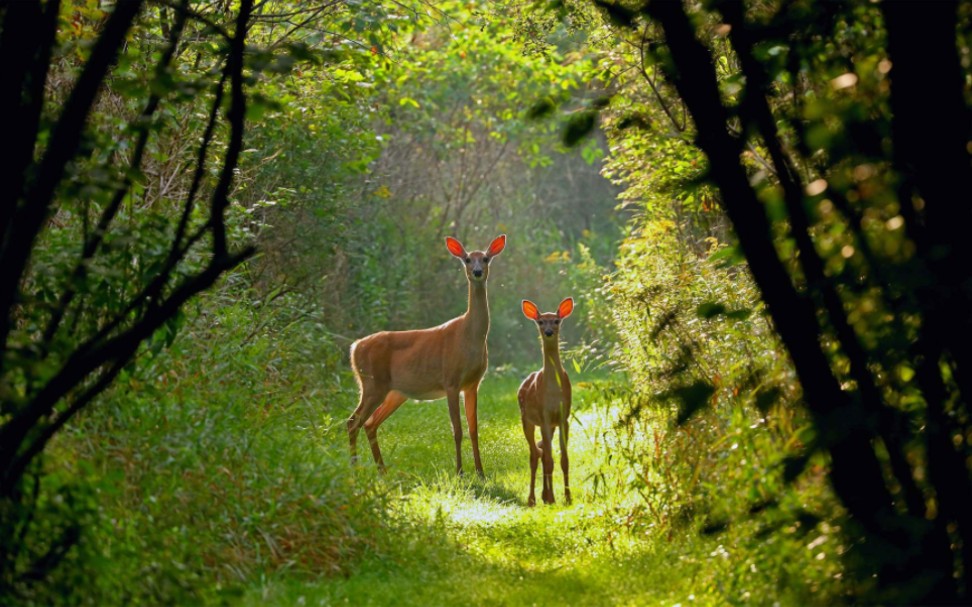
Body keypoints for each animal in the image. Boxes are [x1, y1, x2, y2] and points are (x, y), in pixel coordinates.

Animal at [347, 234, 507, 477]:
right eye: (468, 259)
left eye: (486, 258)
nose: (477, 272)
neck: (469, 336)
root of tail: (355, 347)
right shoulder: (451, 380)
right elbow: (457, 430)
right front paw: (460, 472)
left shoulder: (472, 384)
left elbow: (473, 429)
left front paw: (481, 473)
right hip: (372, 384)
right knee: (353, 421)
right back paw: (355, 471)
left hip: (394, 392)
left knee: (369, 423)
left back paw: (382, 471)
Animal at [517, 297, 574, 506]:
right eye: (540, 322)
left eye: (556, 321)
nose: (549, 332)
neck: (553, 391)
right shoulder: (544, 416)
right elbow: (549, 459)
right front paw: (552, 498)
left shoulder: (563, 417)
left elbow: (564, 459)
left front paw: (568, 497)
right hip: (526, 419)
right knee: (535, 454)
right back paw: (533, 499)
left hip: (550, 424)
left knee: (541, 452)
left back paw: (543, 495)